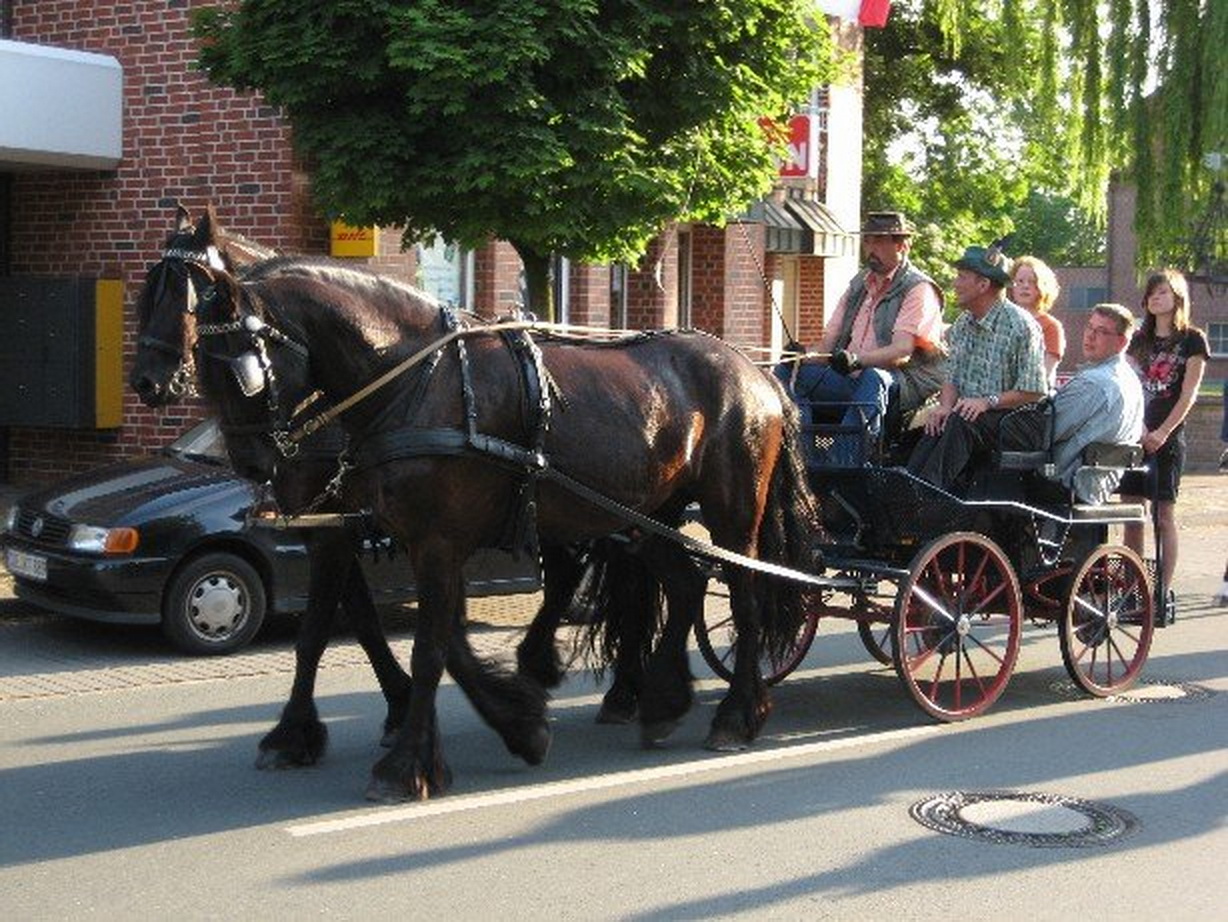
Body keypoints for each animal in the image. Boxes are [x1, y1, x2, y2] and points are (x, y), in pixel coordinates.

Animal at [132, 223, 815, 800]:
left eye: (234, 361)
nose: (253, 462)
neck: (408, 380)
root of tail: (754, 370)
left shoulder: (427, 540)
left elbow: (427, 647)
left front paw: (407, 762)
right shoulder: (368, 535)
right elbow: (353, 634)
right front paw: (511, 722)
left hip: (731, 513)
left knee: (744, 597)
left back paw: (735, 714)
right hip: (647, 516)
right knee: (682, 583)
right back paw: (659, 700)